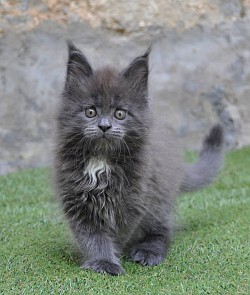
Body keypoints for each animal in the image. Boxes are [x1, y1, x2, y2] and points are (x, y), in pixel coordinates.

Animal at [53, 42, 225, 278]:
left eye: (119, 114)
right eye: (90, 112)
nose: (104, 126)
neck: (101, 159)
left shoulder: (136, 199)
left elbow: (119, 233)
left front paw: (114, 256)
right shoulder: (77, 201)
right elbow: (92, 236)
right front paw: (104, 262)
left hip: (158, 201)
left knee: (163, 229)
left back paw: (148, 251)